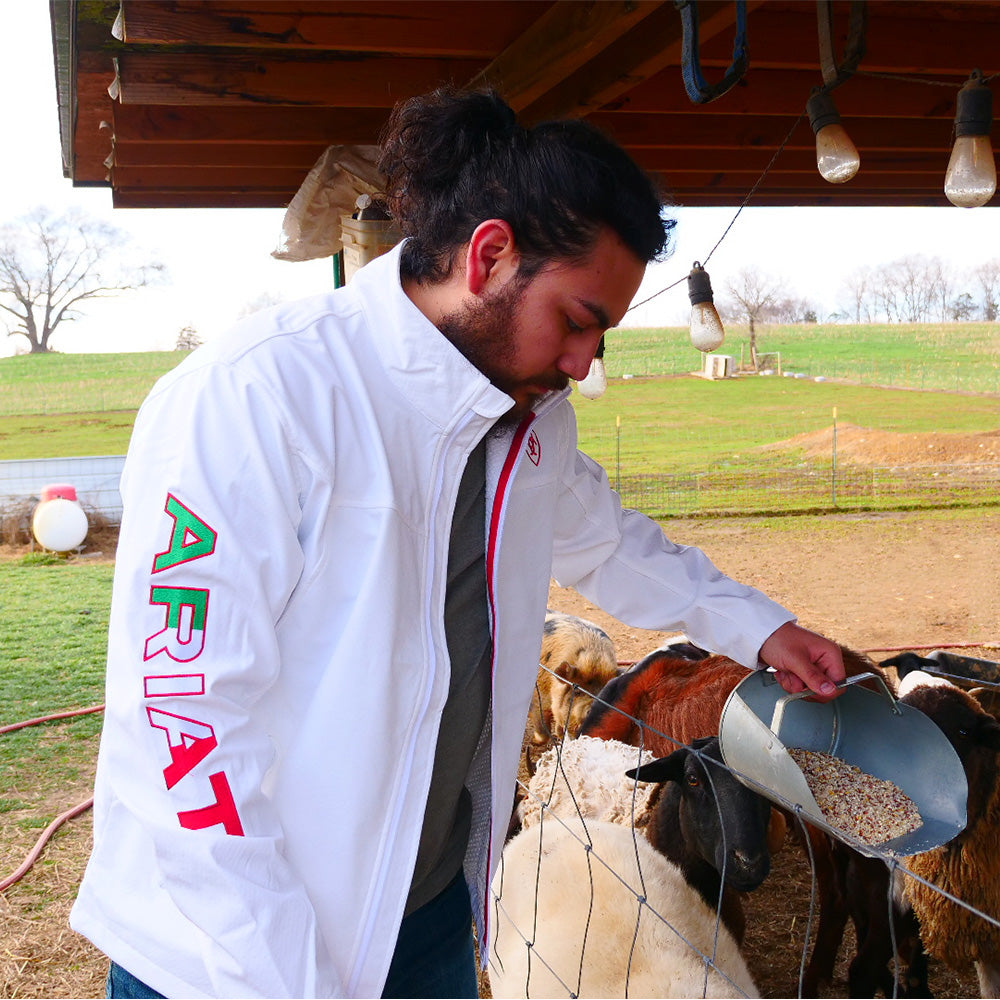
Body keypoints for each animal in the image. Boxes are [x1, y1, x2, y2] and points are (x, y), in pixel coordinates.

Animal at [528, 604, 620, 748]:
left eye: (607, 692)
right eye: (577, 692)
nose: (593, 707)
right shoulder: (538, 695)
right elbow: (542, 727)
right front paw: (534, 742)